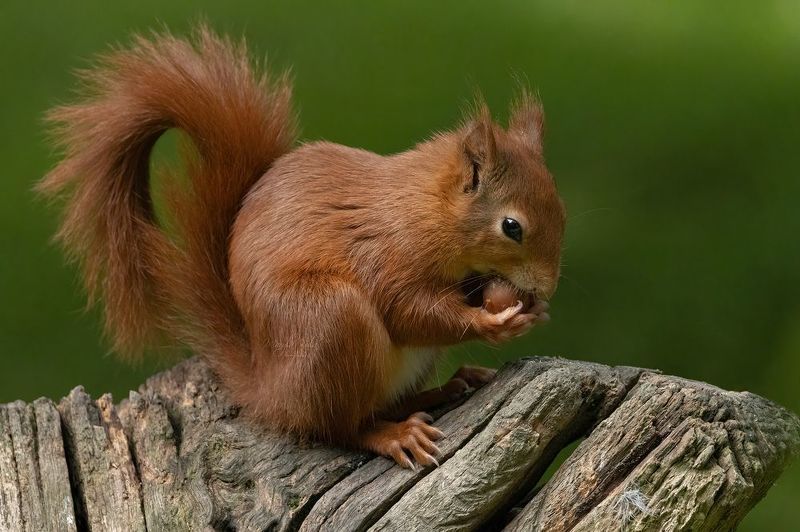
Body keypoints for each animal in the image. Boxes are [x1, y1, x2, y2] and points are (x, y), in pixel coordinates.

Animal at [39, 26, 565, 468]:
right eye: (512, 227)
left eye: (561, 209)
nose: (547, 288)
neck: (427, 210)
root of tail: (272, 391)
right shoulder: (385, 253)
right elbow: (406, 310)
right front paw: (495, 322)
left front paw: (531, 312)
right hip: (328, 319)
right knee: (340, 426)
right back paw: (394, 434)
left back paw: (448, 387)